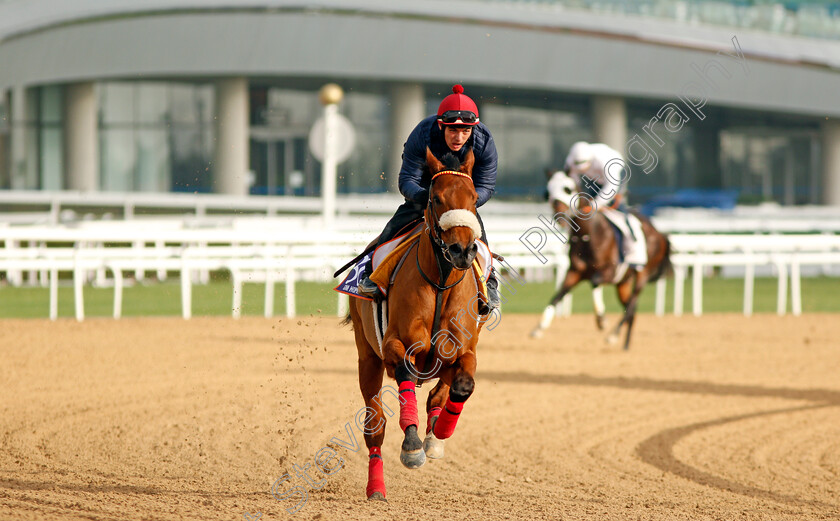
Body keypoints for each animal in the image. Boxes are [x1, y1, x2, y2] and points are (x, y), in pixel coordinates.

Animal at [346, 145, 486, 500]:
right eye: (435, 198)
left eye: (474, 197)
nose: (462, 250)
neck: (441, 284)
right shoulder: (395, 345)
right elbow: (405, 374)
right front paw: (411, 447)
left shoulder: (463, 351)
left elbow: (462, 386)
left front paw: (440, 433)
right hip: (367, 358)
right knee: (375, 427)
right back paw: (376, 487)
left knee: (439, 394)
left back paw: (434, 433)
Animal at [532, 171, 676, 350]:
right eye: (547, 192)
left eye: (567, 189)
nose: (560, 216)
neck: (589, 234)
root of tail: (660, 234)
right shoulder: (575, 272)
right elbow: (558, 295)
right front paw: (539, 327)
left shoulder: (610, 271)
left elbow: (595, 281)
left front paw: (601, 320)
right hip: (623, 283)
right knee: (631, 310)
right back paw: (625, 345)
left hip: (642, 275)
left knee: (631, 307)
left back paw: (613, 335)